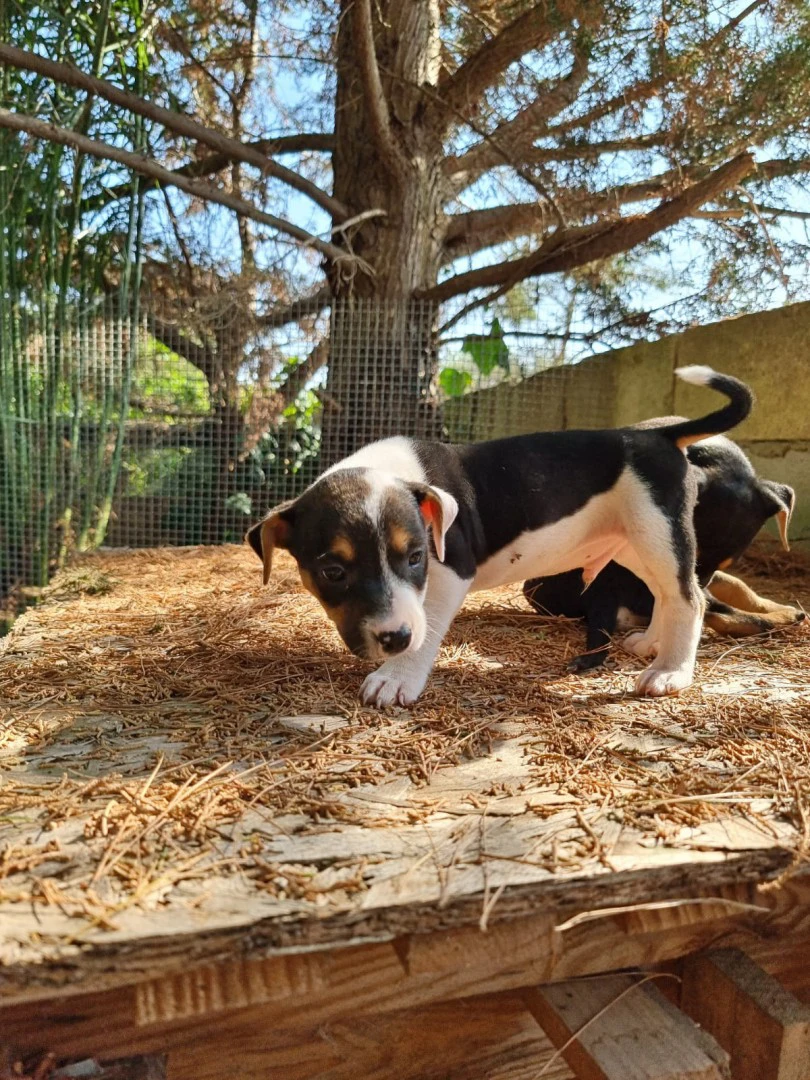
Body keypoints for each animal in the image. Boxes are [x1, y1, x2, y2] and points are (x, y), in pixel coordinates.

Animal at [246, 367, 756, 704]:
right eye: (333, 572)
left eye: (415, 558)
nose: (394, 638)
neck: (385, 470)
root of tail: (662, 435)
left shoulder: (451, 572)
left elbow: (428, 629)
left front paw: (398, 676)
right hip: (635, 543)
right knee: (667, 594)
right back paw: (652, 644)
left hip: (658, 531)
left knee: (690, 600)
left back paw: (670, 672)